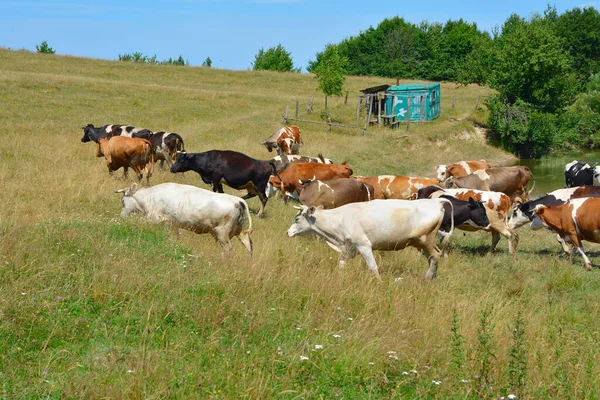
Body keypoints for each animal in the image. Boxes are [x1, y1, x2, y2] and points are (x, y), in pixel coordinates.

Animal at [115, 183, 253, 255]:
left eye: (122, 201)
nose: (122, 216)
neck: (149, 197)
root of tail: (237, 200)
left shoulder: (155, 218)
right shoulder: (172, 224)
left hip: (222, 233)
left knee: (228, 249)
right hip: (238, 231)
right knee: (248, 244)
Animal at [288, 198, 452, 280]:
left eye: (297, 219)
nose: (288, 232)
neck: (340, 218)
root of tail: (436, 201)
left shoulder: (364, 244)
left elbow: (373, 266)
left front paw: (379, 282)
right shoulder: (351, 248)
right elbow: (341, 263)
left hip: (425, 240)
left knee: (435, 256)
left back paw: (428, 277)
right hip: (420, 243)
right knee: (432, 258)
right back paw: (432, 277)